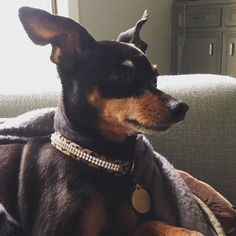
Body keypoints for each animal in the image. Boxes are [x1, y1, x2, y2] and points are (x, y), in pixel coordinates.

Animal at [0, 6, 213, 235]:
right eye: (120, 76)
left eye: (155, 77)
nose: (181, 107)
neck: (102, 161)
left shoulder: (128, 227)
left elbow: (154, 222)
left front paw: (189, 231)